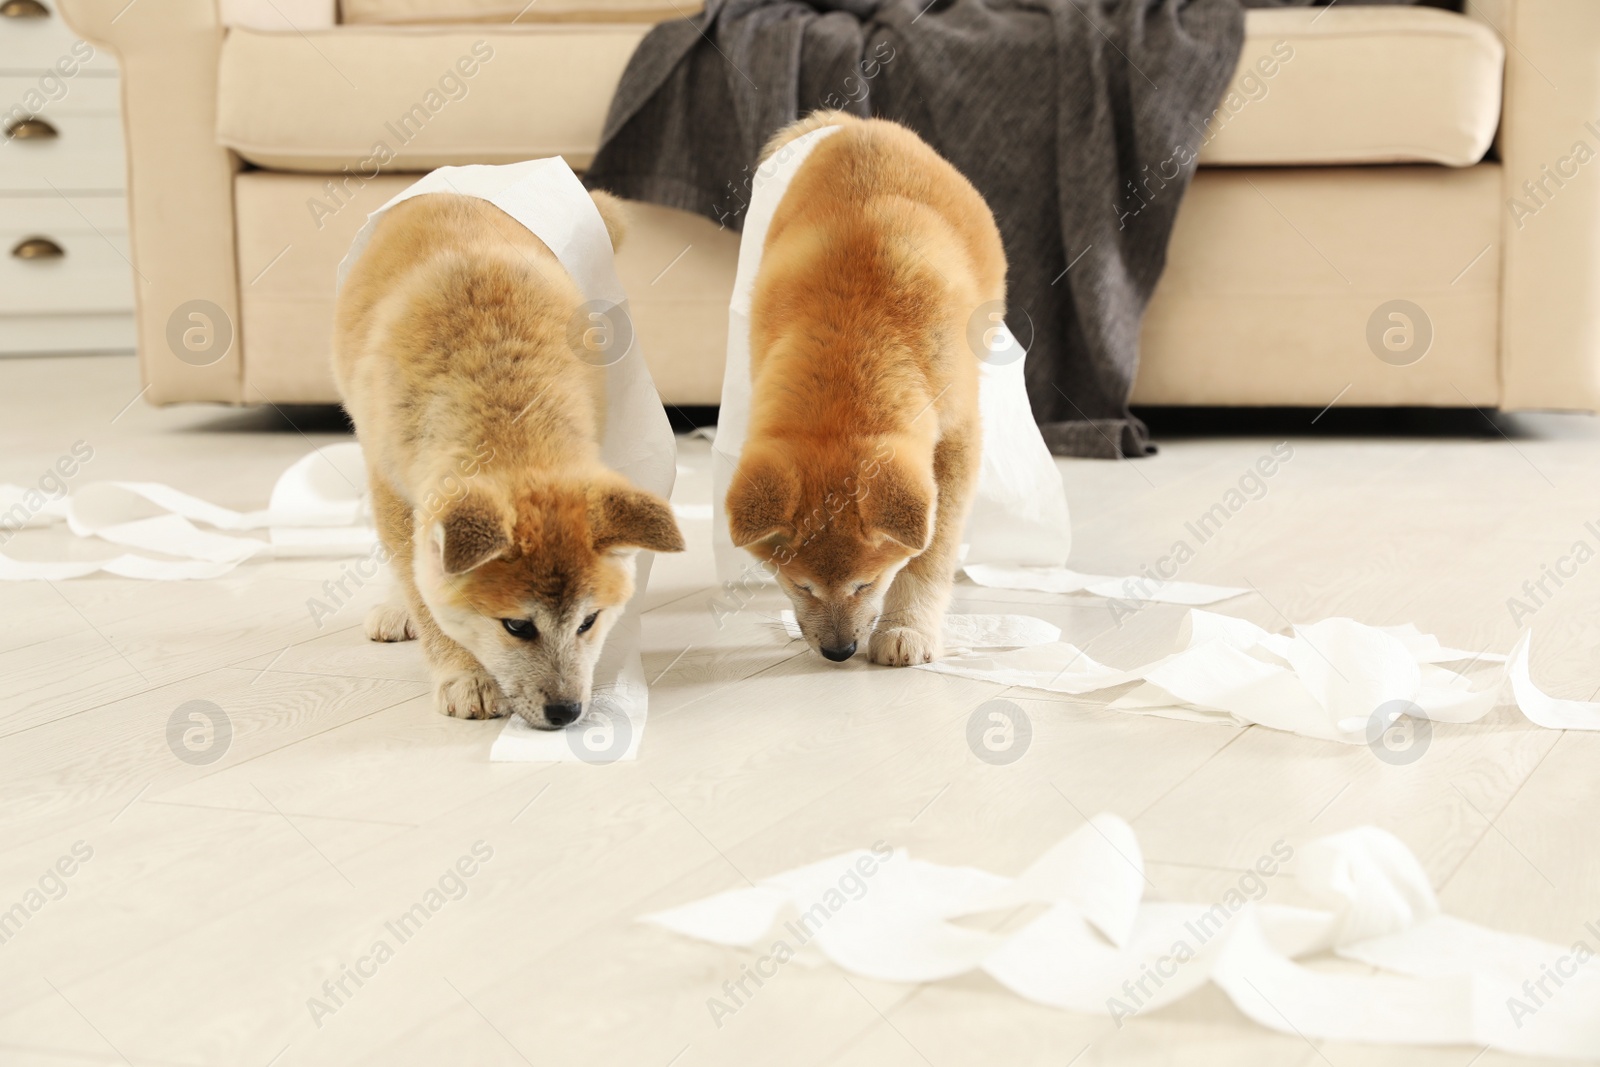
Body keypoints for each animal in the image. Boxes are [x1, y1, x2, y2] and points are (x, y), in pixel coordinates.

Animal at [334, 189, 684, 726]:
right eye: (517, 627)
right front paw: (464, 673)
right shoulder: (392, 482)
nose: (565, 711)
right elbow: (422, 588)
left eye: (589, 621)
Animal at [726, 115, 998, 668]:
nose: (839, 651)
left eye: (865, 583)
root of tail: (861, 123)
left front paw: (907, 628)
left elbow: (930, 554)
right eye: (801, 585)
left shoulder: (956, 439)